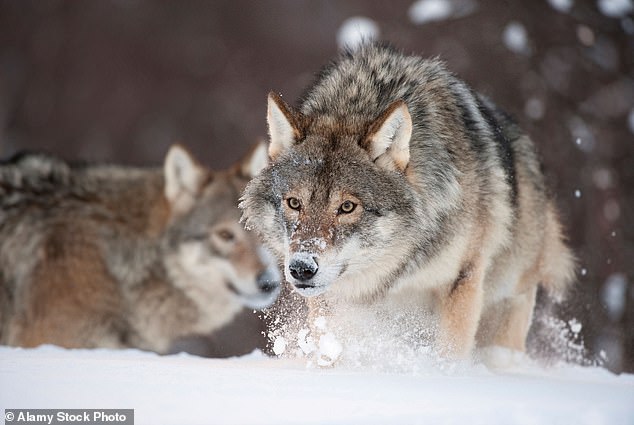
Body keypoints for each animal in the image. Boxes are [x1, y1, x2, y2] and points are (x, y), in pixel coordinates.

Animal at [239, 44, 576, 362]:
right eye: (294, 203)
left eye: (347, 207)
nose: (301, 268)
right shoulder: (331, 300)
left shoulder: (462, 280)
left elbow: (450, 353)